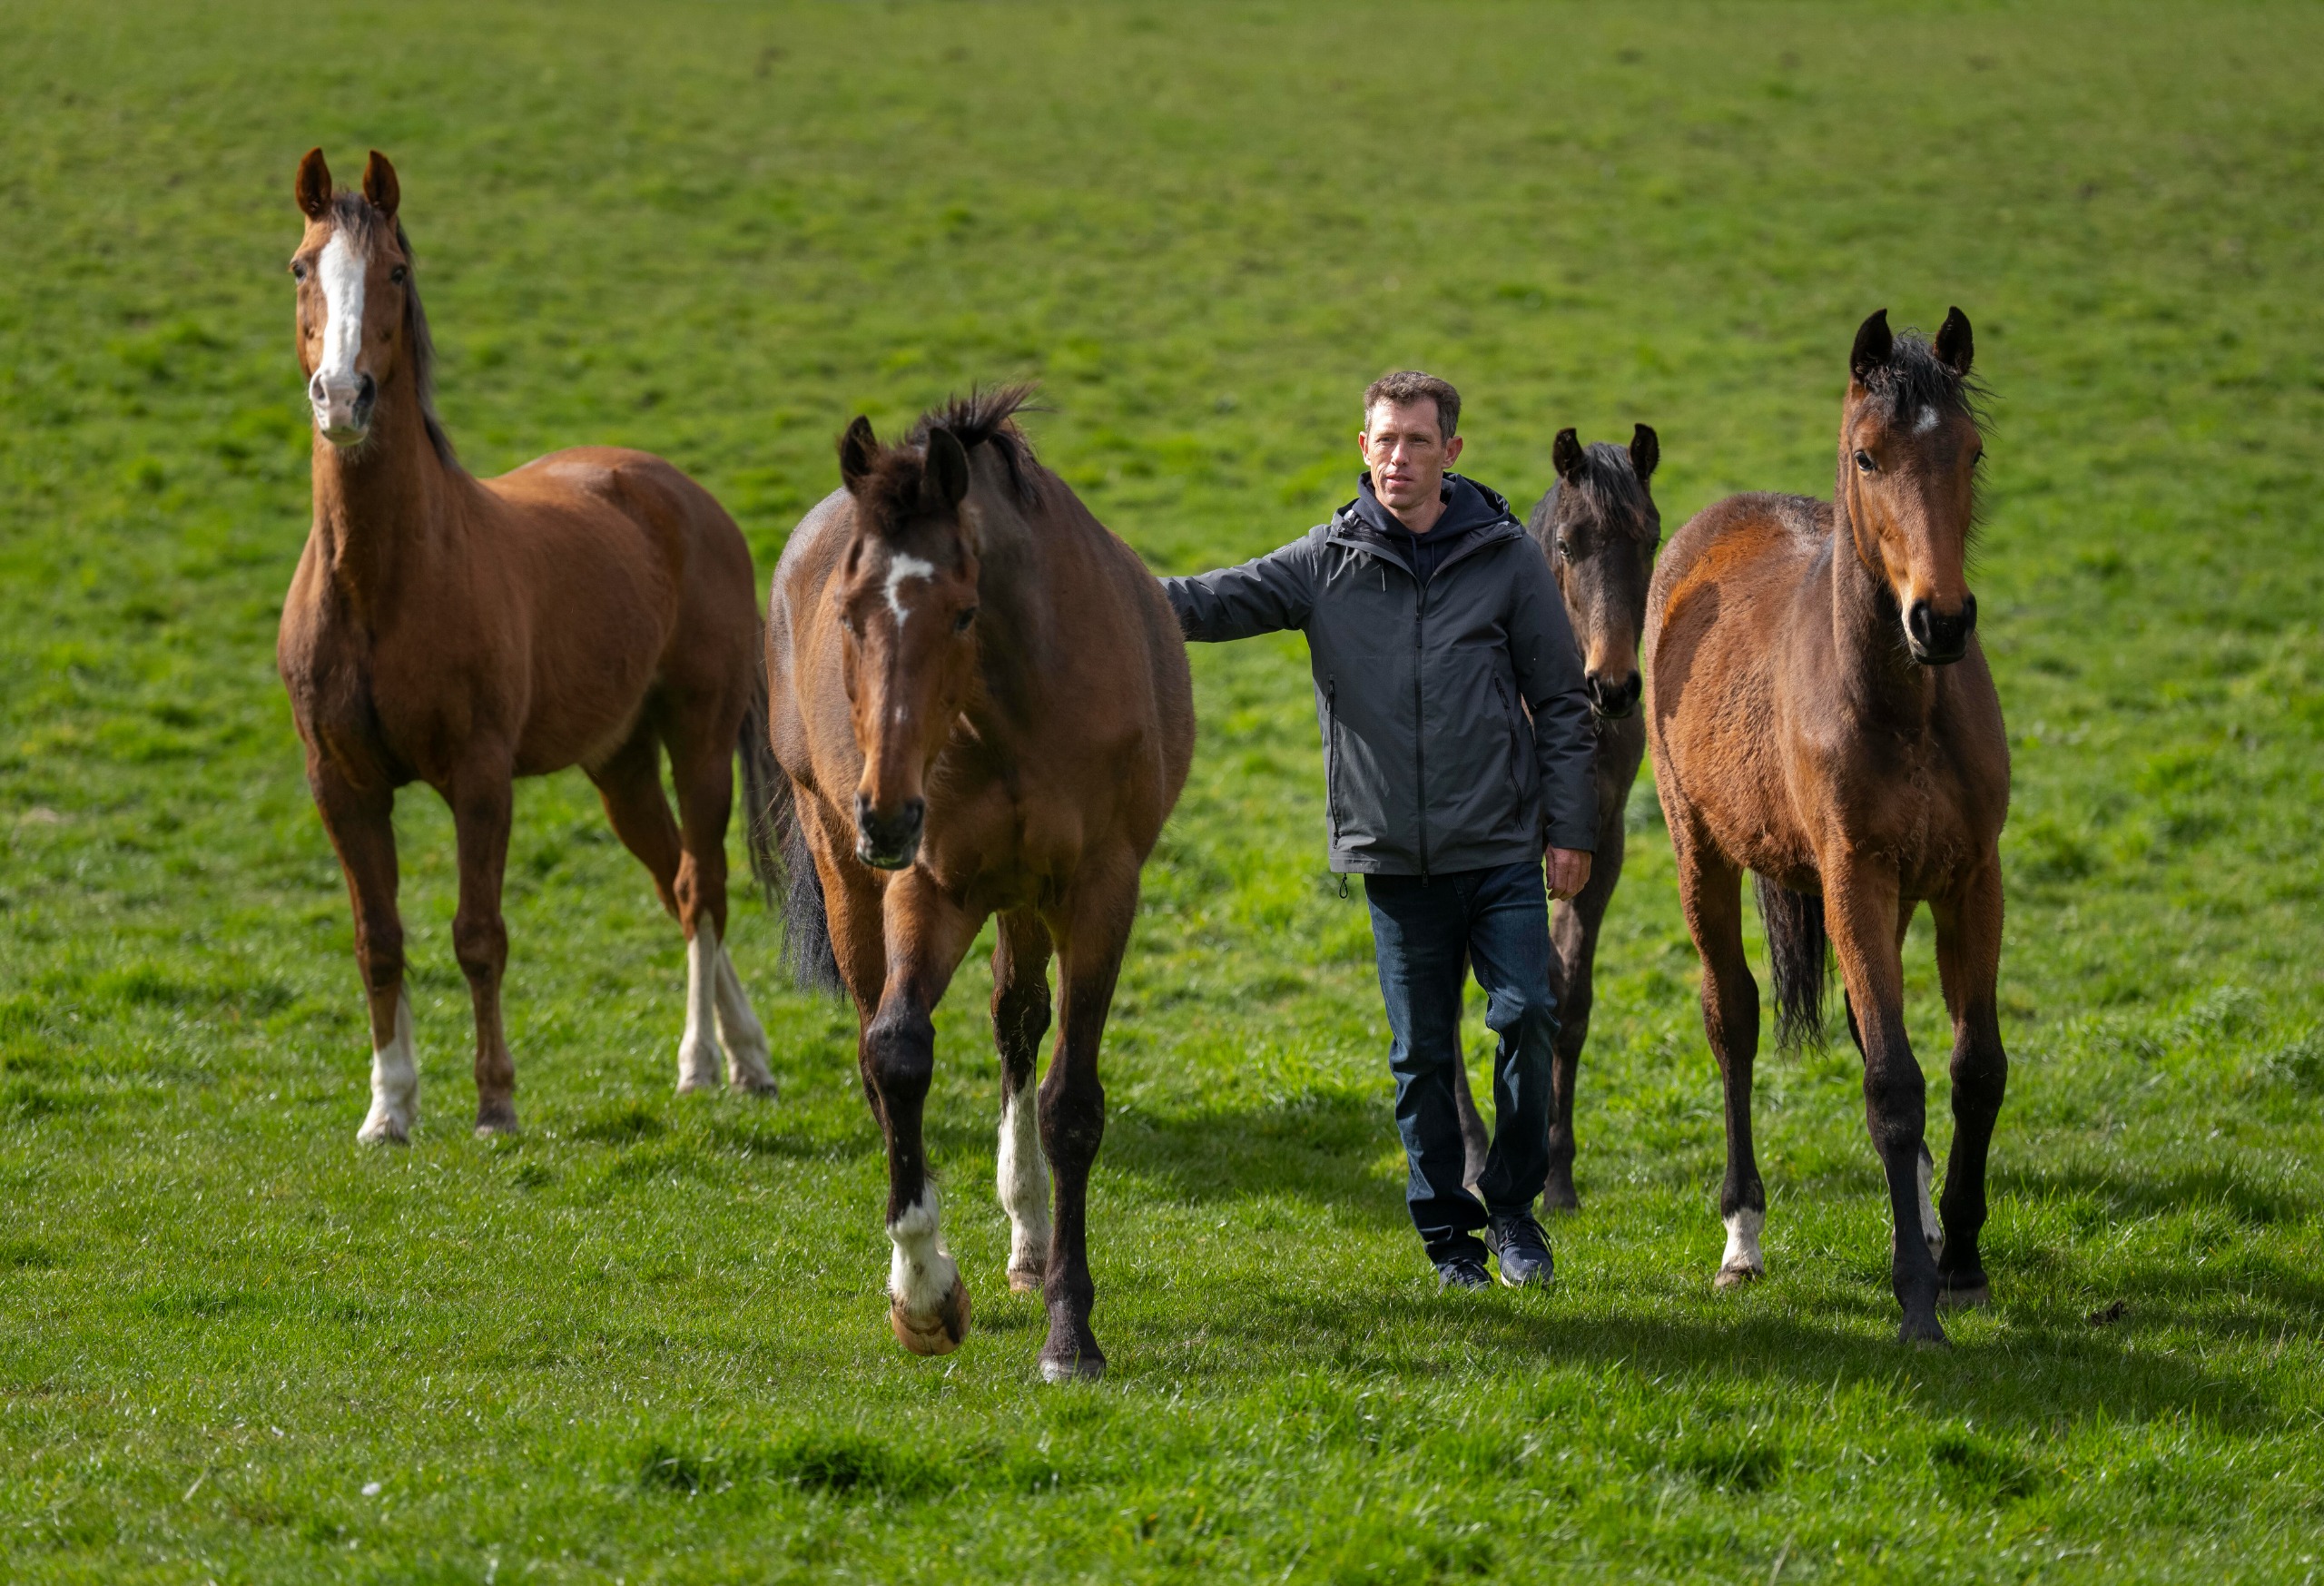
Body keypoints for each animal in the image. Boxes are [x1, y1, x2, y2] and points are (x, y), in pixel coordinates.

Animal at [276, 148, 781, 1142]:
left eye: (396, 270)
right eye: (302, 266)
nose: (343, 397)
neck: (382, 583)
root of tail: (683, 495)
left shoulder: (480, 777)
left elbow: (479, 936)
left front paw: (494, 1101)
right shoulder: (341, 786)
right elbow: (377, 940)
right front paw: (389, 1107)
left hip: (698, 739)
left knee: (703, 884)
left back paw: (702, 1061)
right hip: (620, 764)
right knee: (675, 882)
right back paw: (745, 1054)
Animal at [763, 387, 1193, 1382]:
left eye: (962, 613)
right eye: (849, 613)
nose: (885, 812)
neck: (1013, 707)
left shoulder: (1097, 891)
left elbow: (1069, 1102)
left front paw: (1070, 1331)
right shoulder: (930, 886)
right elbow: (897, 1051)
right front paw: (923, 1290)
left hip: (1026, 898)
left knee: (1017, 1021)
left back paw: (1030, 1243)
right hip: (849, 870)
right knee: (878, 1041)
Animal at [1451, 424, 1661, 1213]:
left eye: (1650, 538)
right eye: (1569, 544)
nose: (1614, 686)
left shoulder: (1600, 848)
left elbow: (1569, 999)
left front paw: (1558, 1175)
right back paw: (1471, 1152)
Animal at [1643, 308, 2009, 1345]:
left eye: (1970, 450)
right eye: (1867, 454)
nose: (1941, 620)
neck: (1905, 707)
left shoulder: (1971, 878)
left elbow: (1973, 1067)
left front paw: (1958, 1259)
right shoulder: (1856, 877)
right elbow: (1892, 1081)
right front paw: (1917, 1301)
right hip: (1701, 854)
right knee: (1733, 1018)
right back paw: (1742, 1237)